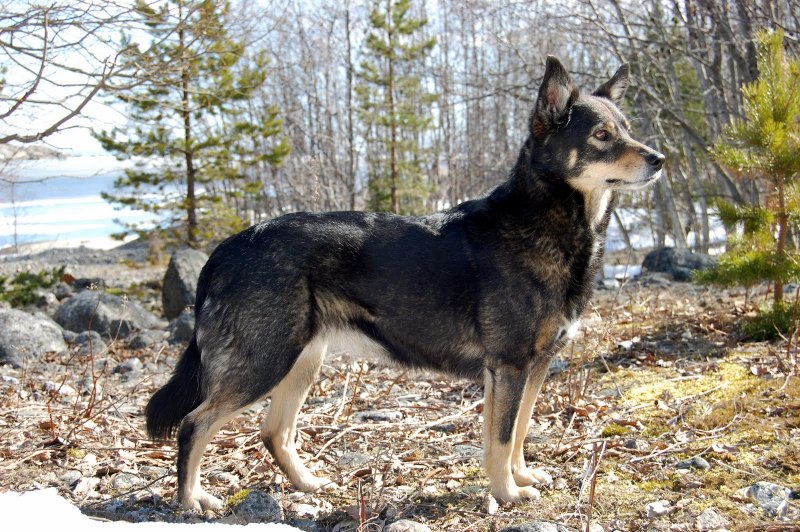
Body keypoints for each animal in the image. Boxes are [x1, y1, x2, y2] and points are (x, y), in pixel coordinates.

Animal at [147, 55, 664, 512]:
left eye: (627, 128)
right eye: (602, 136)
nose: (660, 159)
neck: (544, 220)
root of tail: (228, 247)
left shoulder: (531, 369)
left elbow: (517, 432)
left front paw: (519, 478)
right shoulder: (510, 366)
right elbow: (501, 437)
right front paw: (506, 494)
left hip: (302, 361)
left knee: (274, 432)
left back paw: (309, 484)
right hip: (264, 363)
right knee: (194, 424)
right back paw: (191, 500)